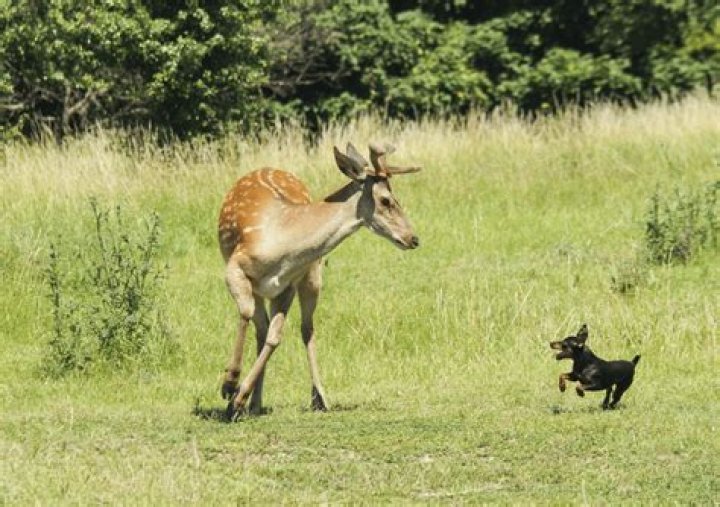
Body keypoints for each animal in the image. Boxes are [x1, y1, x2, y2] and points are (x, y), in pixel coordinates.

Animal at [217, 142, 421, 420]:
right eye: (386, 200)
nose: (413, 238)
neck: (281, 246)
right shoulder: (235, 266)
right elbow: (247, 315)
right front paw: (229, 385)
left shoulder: (288, 285)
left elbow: (275, 336)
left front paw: (237, 398)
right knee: (261, 325)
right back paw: (251, 401)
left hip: (311, 276)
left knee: (303, 328)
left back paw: (311, 398)